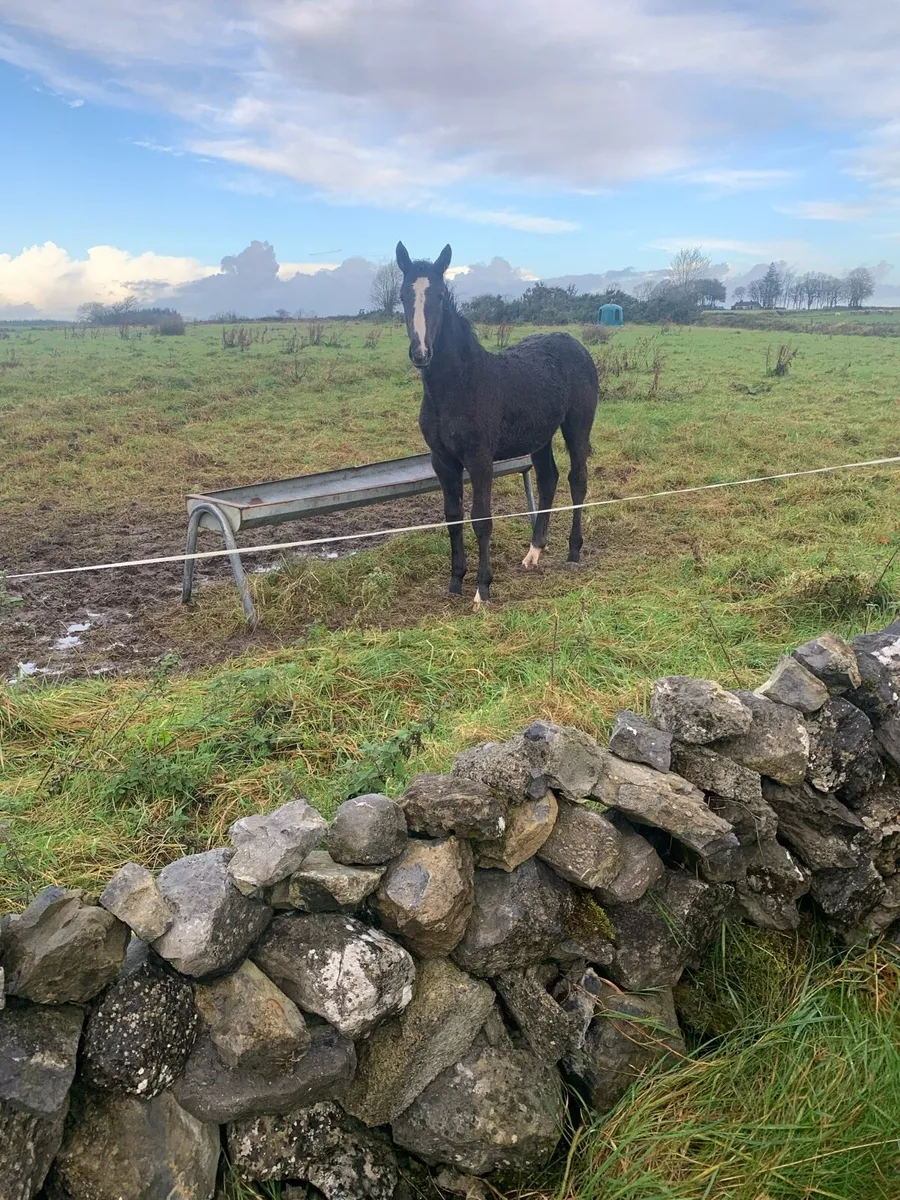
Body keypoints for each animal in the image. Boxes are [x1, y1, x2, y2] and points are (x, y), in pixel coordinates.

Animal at [396, 241, 599, 610]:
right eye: (404, 295)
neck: (458, 386)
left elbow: (481, 518)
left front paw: (482, 589)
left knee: (577, 479)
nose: (420, 353)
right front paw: (455, 581)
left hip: (577, 426)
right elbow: (453, 517)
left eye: (439, 296)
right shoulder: (442, 461)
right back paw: (533, 554)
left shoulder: (480, 459)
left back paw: (574, 552)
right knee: (548, 479)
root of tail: (575, 343)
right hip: (540, 436)